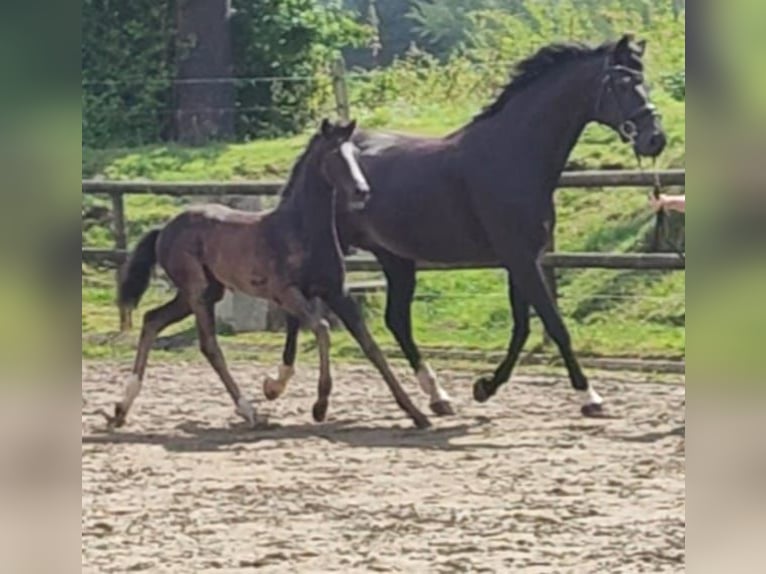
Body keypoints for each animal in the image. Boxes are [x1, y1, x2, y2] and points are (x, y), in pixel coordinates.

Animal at [106, 119, 432, 430]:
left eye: (355, 154)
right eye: (333, 154)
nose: (362, 191)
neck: (300, 230)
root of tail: (164, 229)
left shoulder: (337, 292)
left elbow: (371, 347)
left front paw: (417, 414)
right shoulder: (285, 293)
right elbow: (323, 329)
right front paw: (320, 405)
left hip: (203, 292)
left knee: (152, 320)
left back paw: (122, 408)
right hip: (197, 292)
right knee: (209, 345)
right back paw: (249, 412)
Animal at [272, 35, 668, 418]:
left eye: (644, 79)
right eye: (621, 82)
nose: (655, 139)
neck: (512, 154)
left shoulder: (522, 259)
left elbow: (522, 327)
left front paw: (485, 387)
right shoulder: (521, 260)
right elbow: (554, 325)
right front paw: (590, 396)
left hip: (395, 258)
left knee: (396, 320)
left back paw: (438, 396)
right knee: (298, 307)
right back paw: (276, 383)